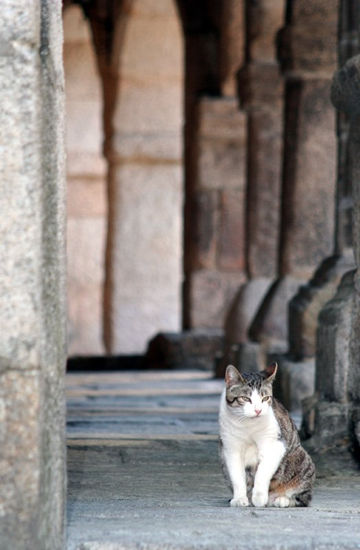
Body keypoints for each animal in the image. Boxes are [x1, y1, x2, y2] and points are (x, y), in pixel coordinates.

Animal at [217, 362, 316, 508]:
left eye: (265, 398)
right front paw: (240, 498)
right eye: (245, 398)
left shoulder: (275, 444)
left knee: (303, 498)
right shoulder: (230, 448)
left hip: (301, 460)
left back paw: (281, 500)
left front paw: (259, 497)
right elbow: (237, 477)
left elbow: (262, 471)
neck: (248, 424)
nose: (258, 410)